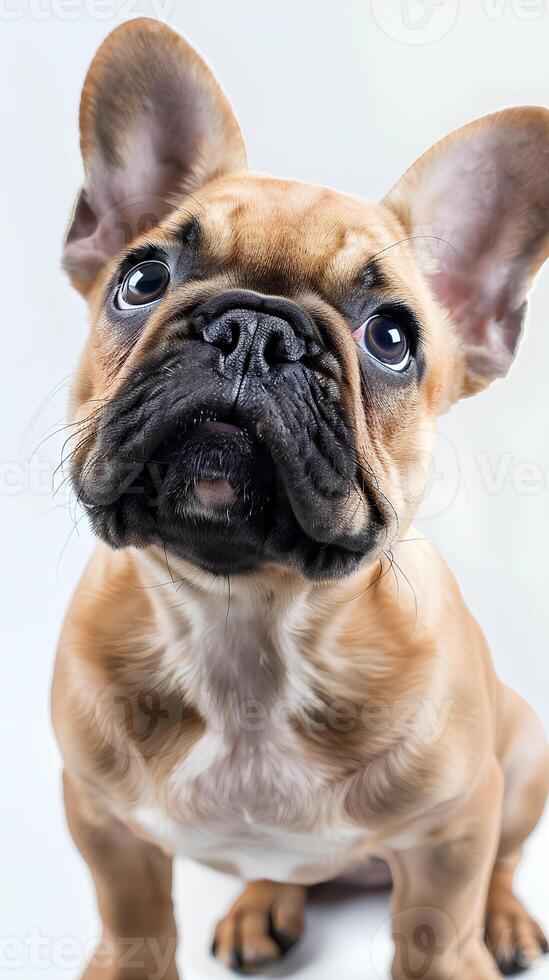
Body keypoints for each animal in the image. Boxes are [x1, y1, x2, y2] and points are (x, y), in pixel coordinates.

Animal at [54, 17, 548, 980]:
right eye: (142, 279)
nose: (253, 329)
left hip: (521, 760)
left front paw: (464, 944)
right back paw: (262, 906)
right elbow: (133, 922)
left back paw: (504, 921)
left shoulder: (451, 837)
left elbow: (440, 933)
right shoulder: (103, 825)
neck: (244, 620)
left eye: (390, 338)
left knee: (504, 863)